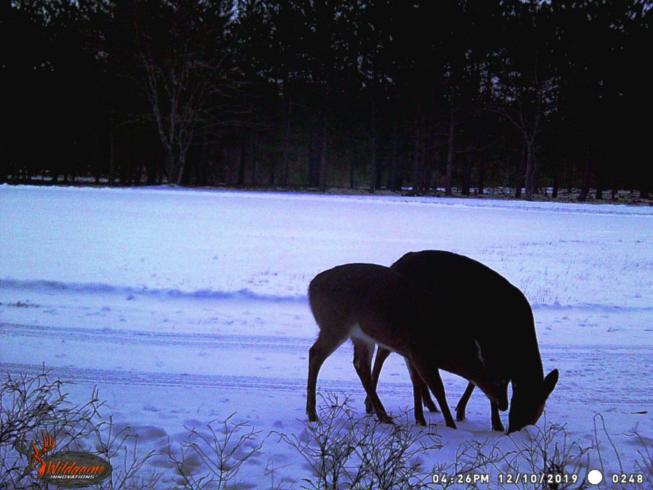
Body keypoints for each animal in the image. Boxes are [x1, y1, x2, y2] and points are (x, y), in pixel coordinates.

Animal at [306, 262, 508, 428]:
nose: (504, 404)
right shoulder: (420, 353)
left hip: (361, 336)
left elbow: (416, 382)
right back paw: (312, 414)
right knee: (315, 353)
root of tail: (311, 287)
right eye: (498, 380)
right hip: (335, 324)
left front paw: (421, 420)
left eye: (508, 381)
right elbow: (438, 389)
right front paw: (450, 425)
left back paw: (383, 416)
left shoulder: (409, 352)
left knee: (360, 365)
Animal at [365, 250, 559, 433]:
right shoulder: (488, 348)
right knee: (383, 352)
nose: (516, 431)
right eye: (525, 406)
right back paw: (370, 404)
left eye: (537, 414)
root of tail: (394, 265)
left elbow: (474, 379)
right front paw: (496, 423)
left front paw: (461, 410)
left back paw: (427, 403)